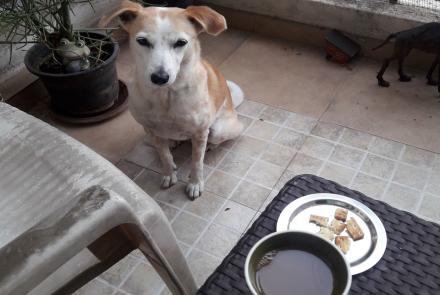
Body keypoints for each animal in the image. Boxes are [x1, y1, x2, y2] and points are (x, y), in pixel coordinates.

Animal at [101, 1, 242, 200]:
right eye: (142, 41)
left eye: (181, 43)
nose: (159, 77)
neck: (165, 96)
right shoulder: (152, 130)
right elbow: (165, 156)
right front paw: (169, 174)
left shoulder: (200, 132)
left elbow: (196, 163)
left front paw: (195, 184)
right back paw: (174, 142)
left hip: (219, 129)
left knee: (215, 139)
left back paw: (210, 146)